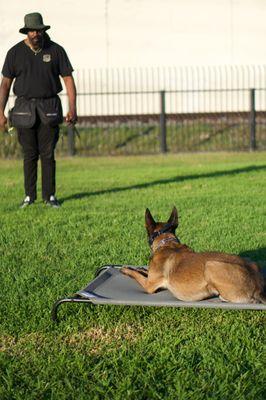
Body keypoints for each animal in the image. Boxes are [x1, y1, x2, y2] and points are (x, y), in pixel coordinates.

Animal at [121, 206, 264, 304]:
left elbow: (136, 275)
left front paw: (126, 269)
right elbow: (142, 271)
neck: (167, 243)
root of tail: (258, 286)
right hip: (252, 262)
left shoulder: (149, 285)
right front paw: (138, 268)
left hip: (211, 265)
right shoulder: (150, 277)